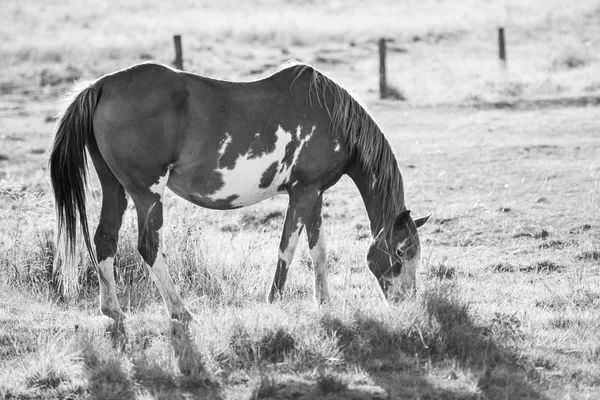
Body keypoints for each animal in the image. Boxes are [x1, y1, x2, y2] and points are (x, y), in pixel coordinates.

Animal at [49, 61, 428, 324]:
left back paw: (112, 311)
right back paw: (181, 311)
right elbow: (287, 249)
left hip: (116, 189)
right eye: (401, 251)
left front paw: (324, 303)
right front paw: (274, 301)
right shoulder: (303, 193)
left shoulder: (315, 193)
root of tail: (100, 86)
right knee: (149, 247)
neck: (332, 116)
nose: (407, 302)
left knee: (104, 240)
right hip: (147, 195)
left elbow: (318, 250)